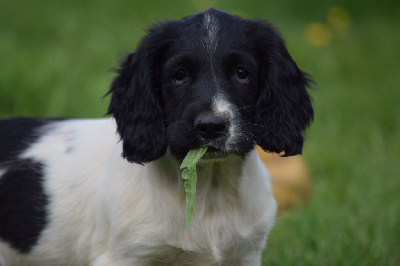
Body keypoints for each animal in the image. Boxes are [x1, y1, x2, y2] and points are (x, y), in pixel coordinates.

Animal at [0, 8, 312, 266]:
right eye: (179, 75)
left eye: (242, 73)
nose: (211, 127)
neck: (209, 190)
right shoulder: (123, 256)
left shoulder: (244, 254)